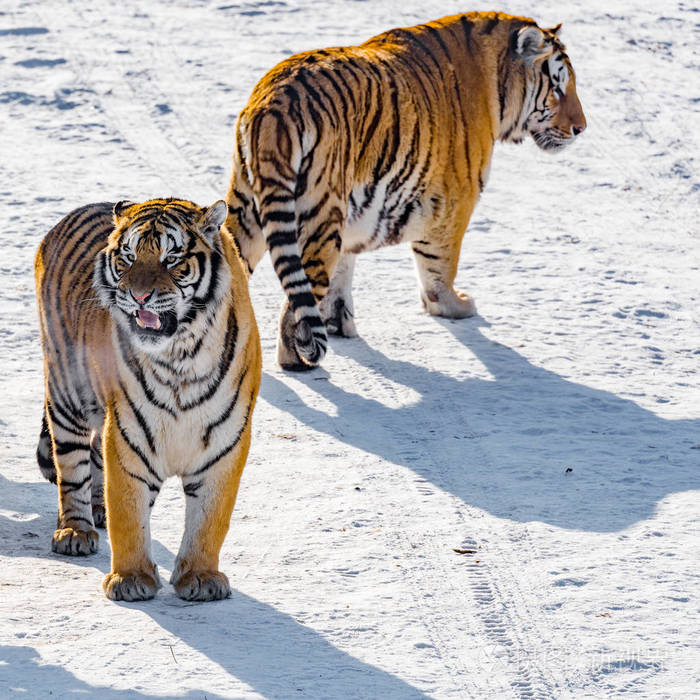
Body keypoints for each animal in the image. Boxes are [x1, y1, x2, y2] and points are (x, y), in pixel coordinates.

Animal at [34, 198, 262, 600]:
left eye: (172, 258)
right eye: (128, 257)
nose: (139, 296)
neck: (182, 356)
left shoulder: (225, 443)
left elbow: (209, 521)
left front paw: (200, 577)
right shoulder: (129, 435)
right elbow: (129, 515)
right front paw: (131, 579)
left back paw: (97, 511)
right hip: (65, 394)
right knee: (71, 469)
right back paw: (76, 530)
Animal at [223, 10, 584, 372]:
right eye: (557, 87)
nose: (581, 128)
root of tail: (273, 103)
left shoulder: (354, 216)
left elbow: (343, 271)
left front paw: (337, 322)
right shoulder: (455, 200)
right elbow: (440, 265)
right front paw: (454, 306)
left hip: (248, 208)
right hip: (319, 213)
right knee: (297, 299)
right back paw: (298, 360)